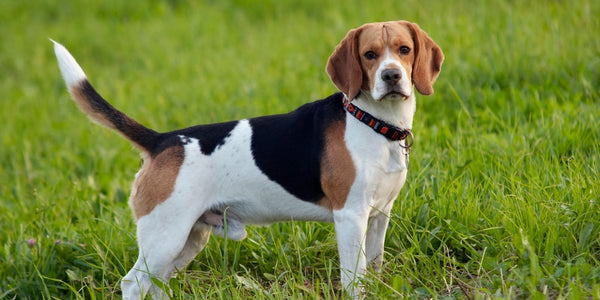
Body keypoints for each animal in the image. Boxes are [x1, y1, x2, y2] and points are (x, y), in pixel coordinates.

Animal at [52, 19, 440, 298]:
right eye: (369, 55)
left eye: (404, 50)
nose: (392, 75)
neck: (373, 122)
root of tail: (162, 140)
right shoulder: (350, 217)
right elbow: (353, 278)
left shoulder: (379, 215)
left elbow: (374, 267)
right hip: (165, 236)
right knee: (133, 284)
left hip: (188, 239)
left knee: (155, 284)